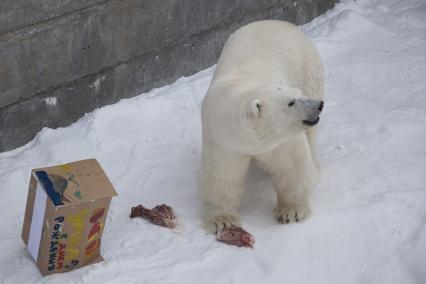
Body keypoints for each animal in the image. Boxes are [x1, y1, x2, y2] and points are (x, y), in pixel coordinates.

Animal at [200, 19, 322, 244]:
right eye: (291, 102)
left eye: (299, 95)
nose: (319, 105)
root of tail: (280, 22)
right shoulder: (221, 140)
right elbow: (220, 175)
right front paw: (222, 221)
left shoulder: (282, 141)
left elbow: (292, 167)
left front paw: (291, 212)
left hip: (308, 68)